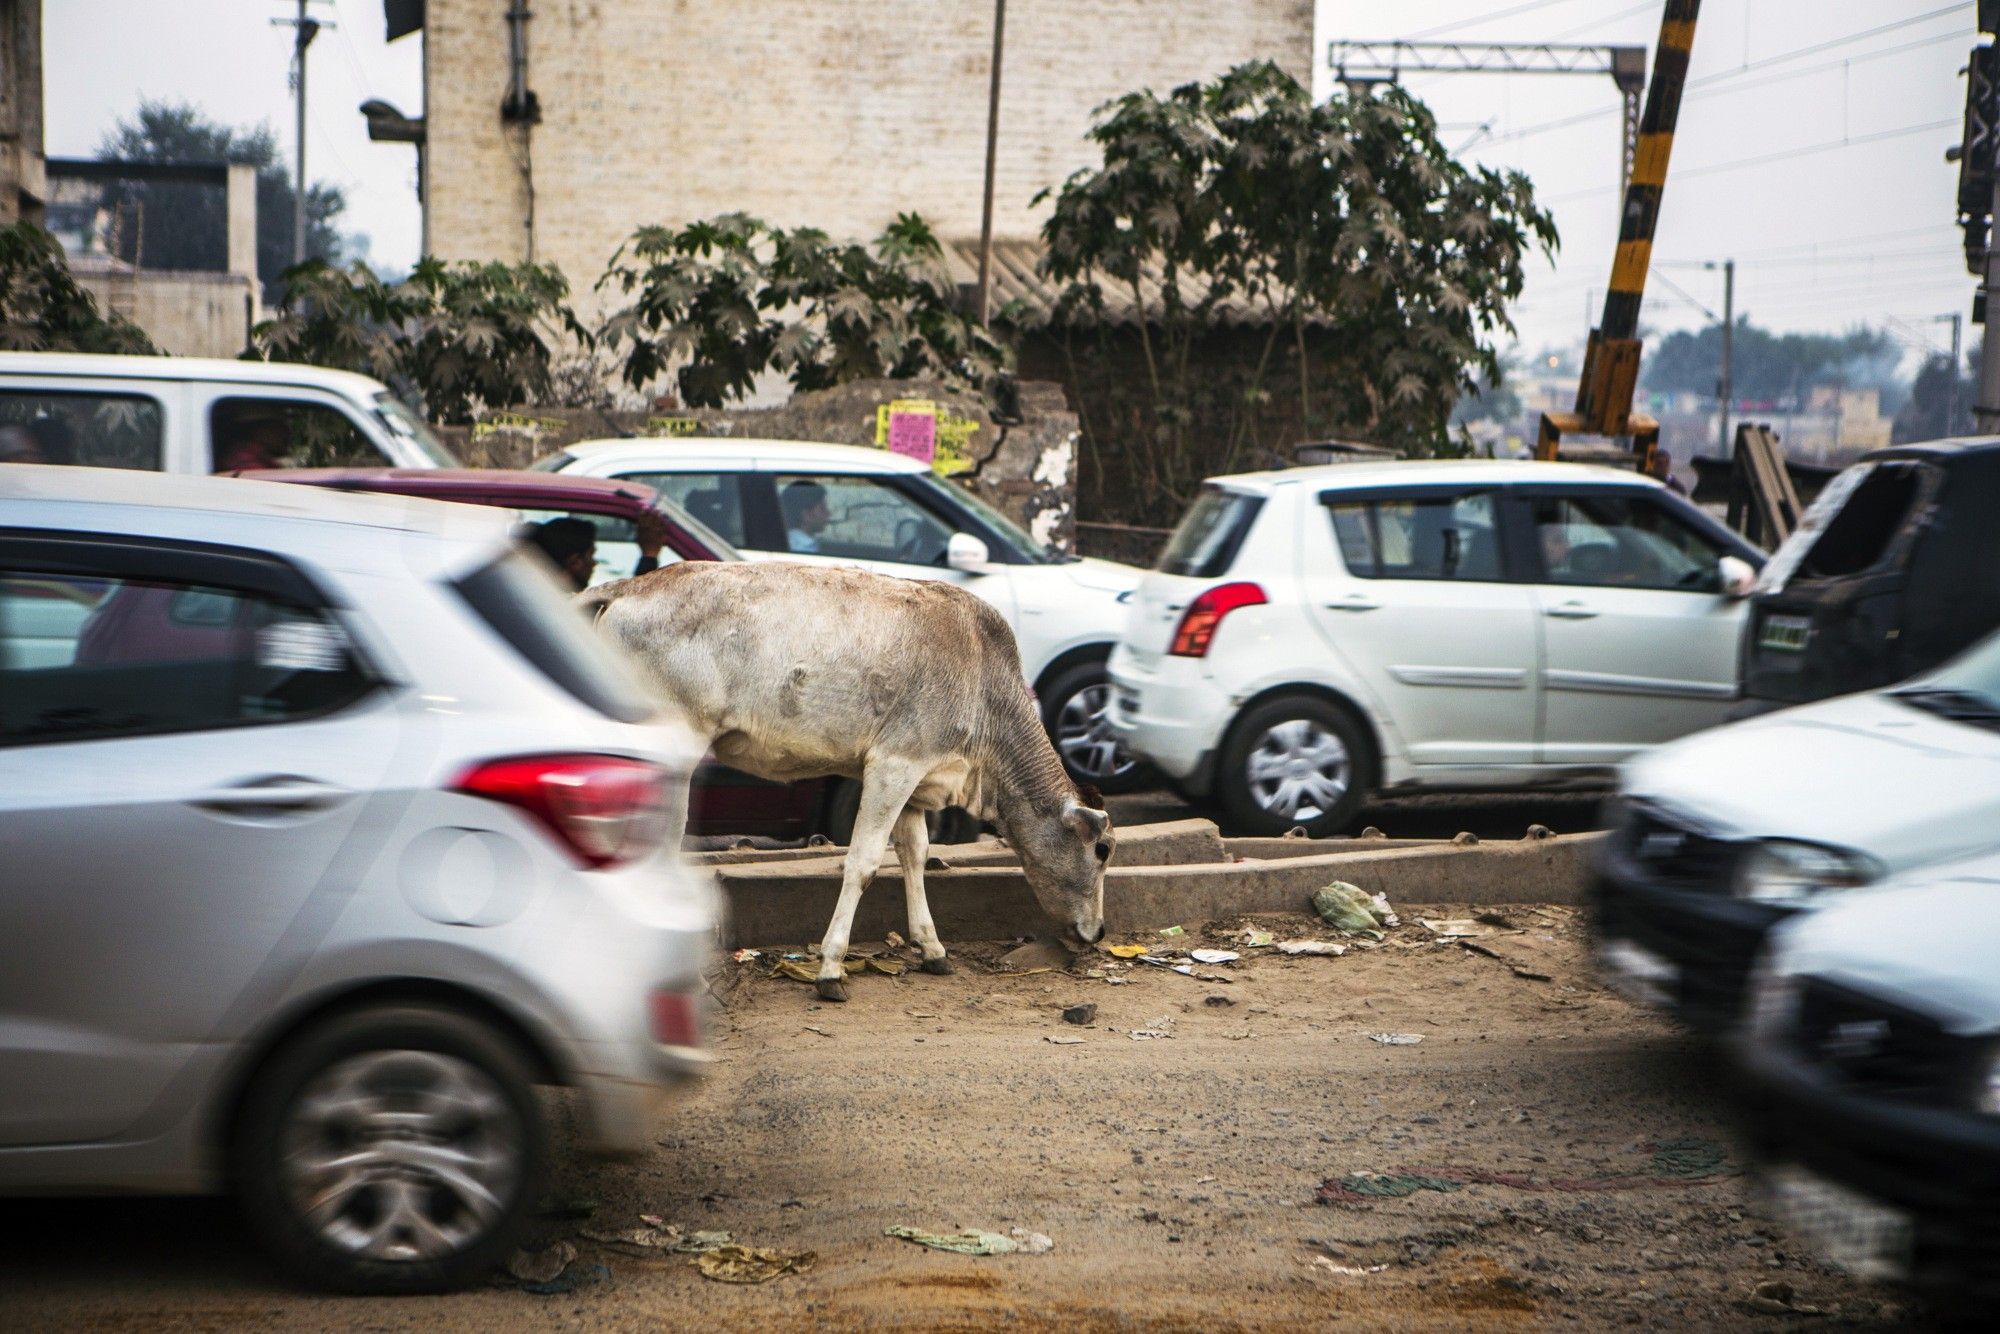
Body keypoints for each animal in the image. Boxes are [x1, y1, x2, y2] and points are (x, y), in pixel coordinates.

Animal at [580, 560, 1120, 996]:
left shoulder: (915, 777)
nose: (1099, 931)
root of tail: (631, 586)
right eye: (1102, 849)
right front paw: (831, 968)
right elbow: (862, 862)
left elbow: (916, 854)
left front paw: (932, 949)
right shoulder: (893, 765)